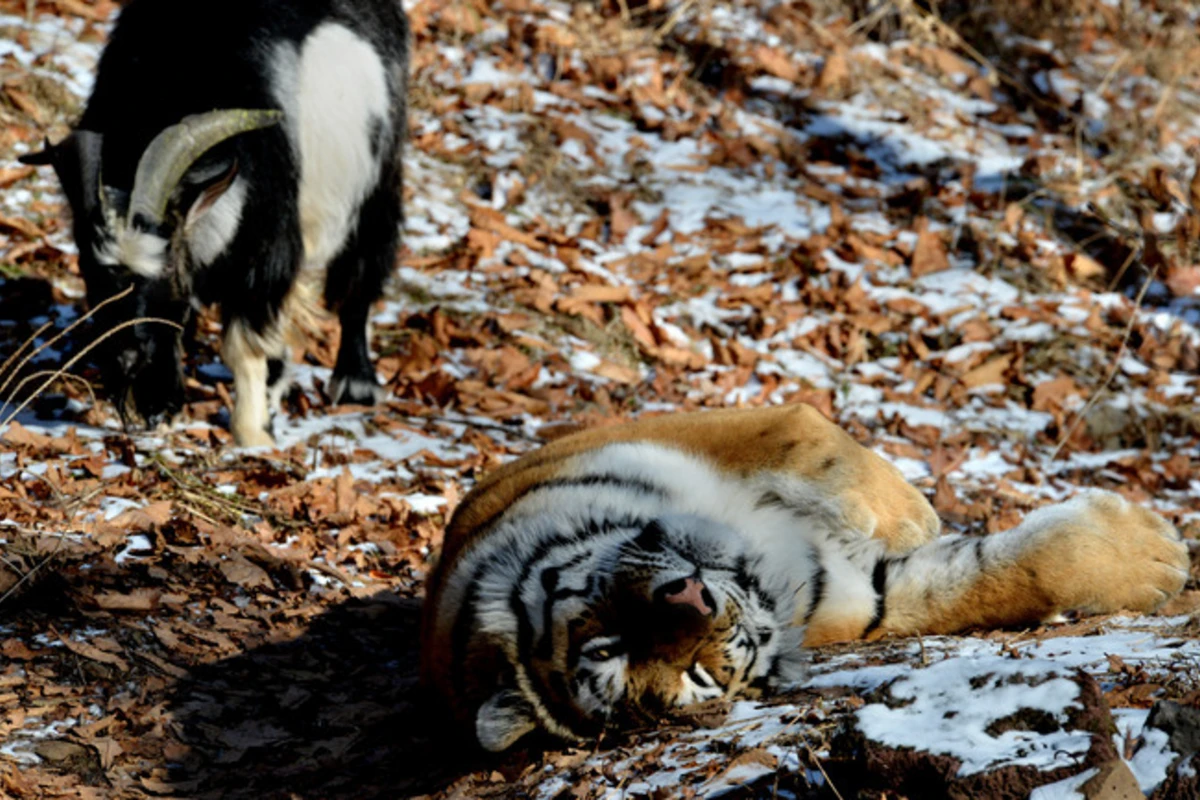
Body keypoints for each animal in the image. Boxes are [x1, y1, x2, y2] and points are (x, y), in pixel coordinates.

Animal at [420, 404, 1190, 752]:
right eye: (695, 678)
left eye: (606, 638)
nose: (693, 597)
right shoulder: (859, 595)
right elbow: (976, 581)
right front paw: (1160, 556)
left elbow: (807, 435)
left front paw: (903, 513)